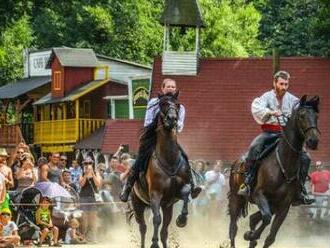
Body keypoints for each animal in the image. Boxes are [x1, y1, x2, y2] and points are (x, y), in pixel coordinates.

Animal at [131, 92, 191, 248]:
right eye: (162, 104)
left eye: (177, 104)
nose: (172, 119)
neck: (169, 161)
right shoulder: (155, 195)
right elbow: (156, 219)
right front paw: (154, 243)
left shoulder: (174, 195)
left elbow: (186, 193)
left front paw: (182, 219)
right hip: (137, 205)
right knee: (143, 227)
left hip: (167, 207)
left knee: (164, 231)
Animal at [228, 95, 318, 248]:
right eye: (301, 116)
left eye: (316, 116)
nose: (313, 140)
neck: (284, 164)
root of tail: (236, 163)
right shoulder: (259, 195)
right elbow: (266, 218)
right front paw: (250, 235)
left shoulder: (284, 206)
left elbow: (270, 237)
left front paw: (252, 235)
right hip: (236, 198)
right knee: (233, 229)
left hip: (272, 204)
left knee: (253, 218)